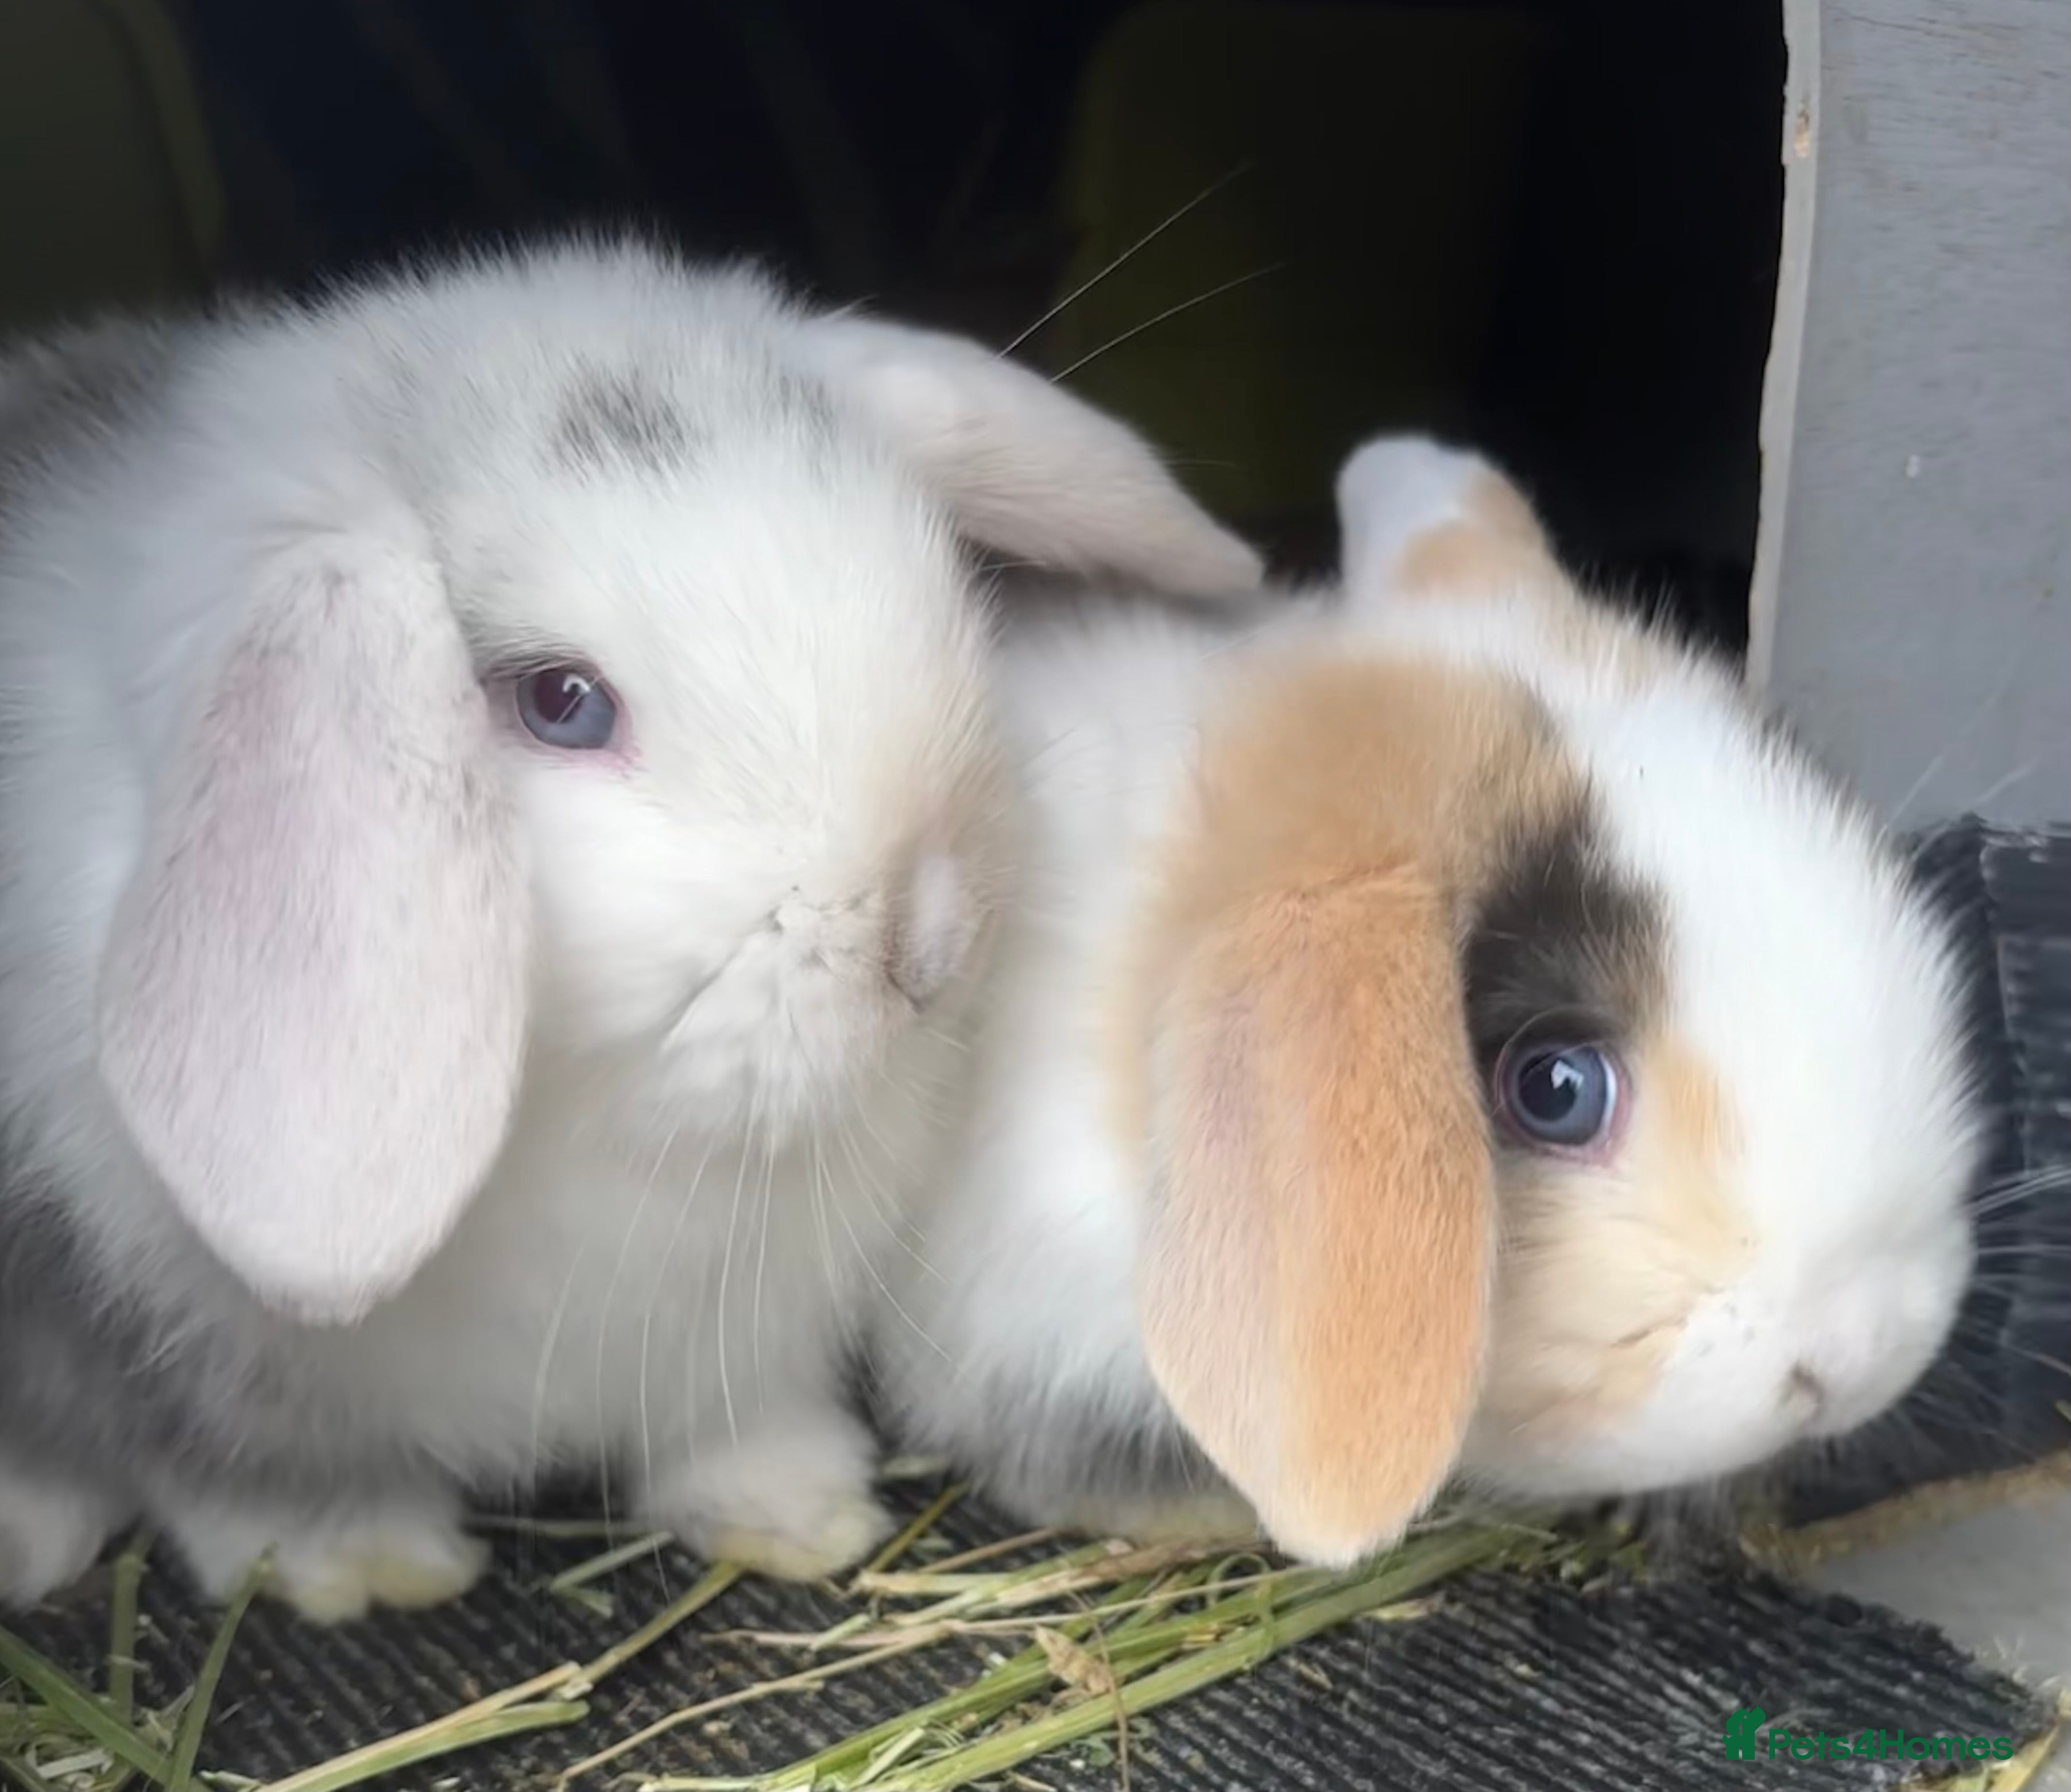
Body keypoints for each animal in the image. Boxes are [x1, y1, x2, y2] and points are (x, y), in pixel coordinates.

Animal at [0, 238, 1263, 1618]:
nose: (929, 942)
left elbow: (731, 1431)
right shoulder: (170, 1357)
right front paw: (372, 1573)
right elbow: (260, 1485)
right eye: (561, 702)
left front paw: (802, 1515)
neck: (598, 1122)